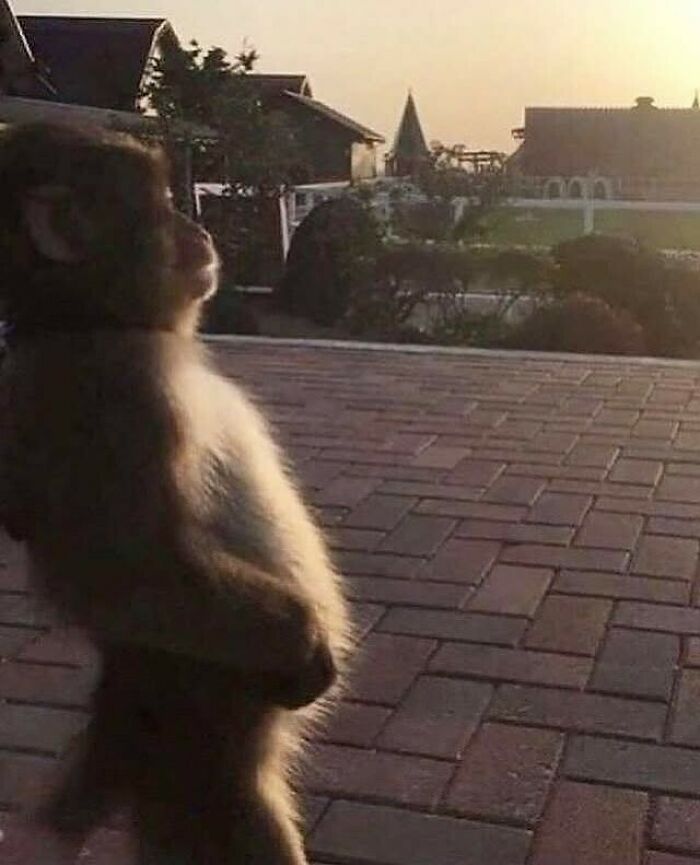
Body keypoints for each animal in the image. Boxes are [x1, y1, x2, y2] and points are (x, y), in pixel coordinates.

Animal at [0, 122, 352, 865]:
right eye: (164, 204)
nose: (201, 229)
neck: (88, 323)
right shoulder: (126, 400)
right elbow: (124, 569)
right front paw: (305, 641)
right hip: (206, 712)